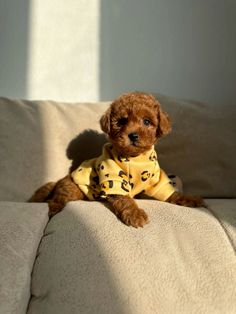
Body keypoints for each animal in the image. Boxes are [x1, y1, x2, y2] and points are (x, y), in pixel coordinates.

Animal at [30, 92, 205, 227]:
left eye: (146, 121)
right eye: (121, 121)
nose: (133, 135)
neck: (136, 158)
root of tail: (61, 179)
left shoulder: (156, 177)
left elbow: (169, 192)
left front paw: (188, 199)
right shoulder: (114, 178)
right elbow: (125, 199)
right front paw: (135, 215)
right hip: (72, 189)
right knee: (57, 199)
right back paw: (52, 208)